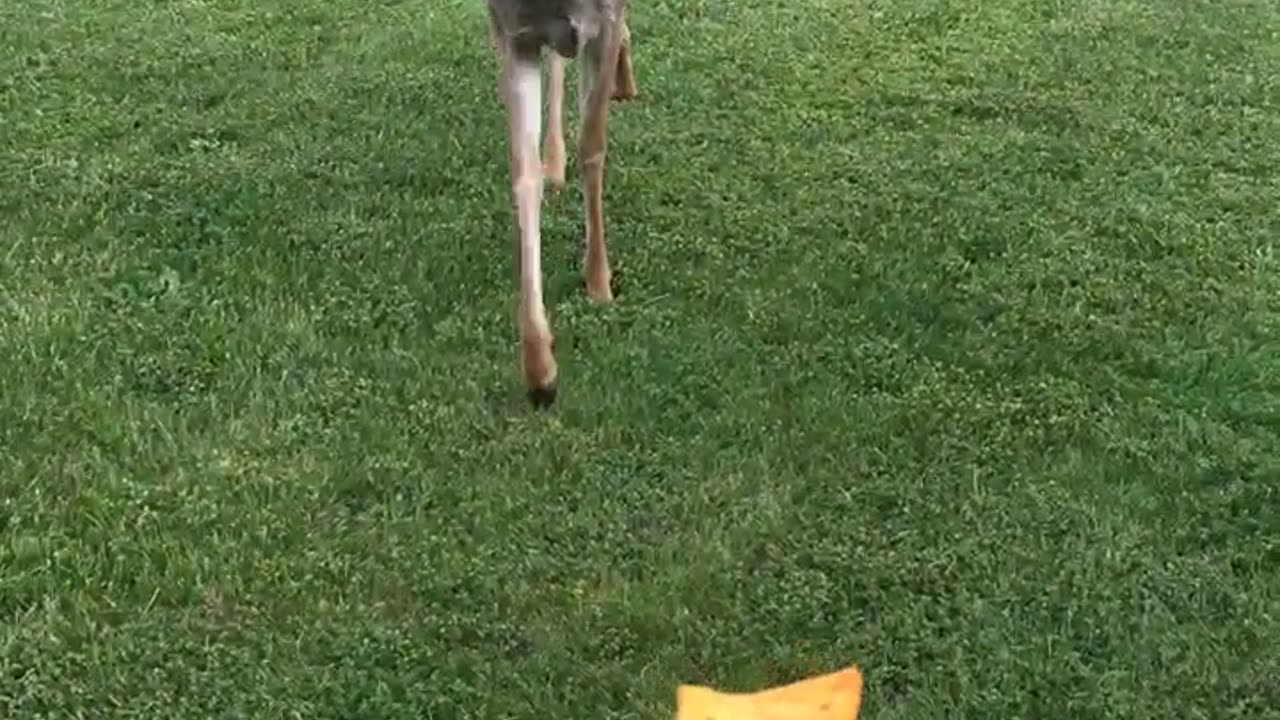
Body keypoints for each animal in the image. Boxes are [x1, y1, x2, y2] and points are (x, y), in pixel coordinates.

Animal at [483, 0, 634, 404]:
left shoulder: (606, 22)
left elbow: (592, 141)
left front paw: (599, 281)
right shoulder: (512, 33)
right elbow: (524, 174)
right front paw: (540, 371)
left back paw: (625, 82)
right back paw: (553, 159)